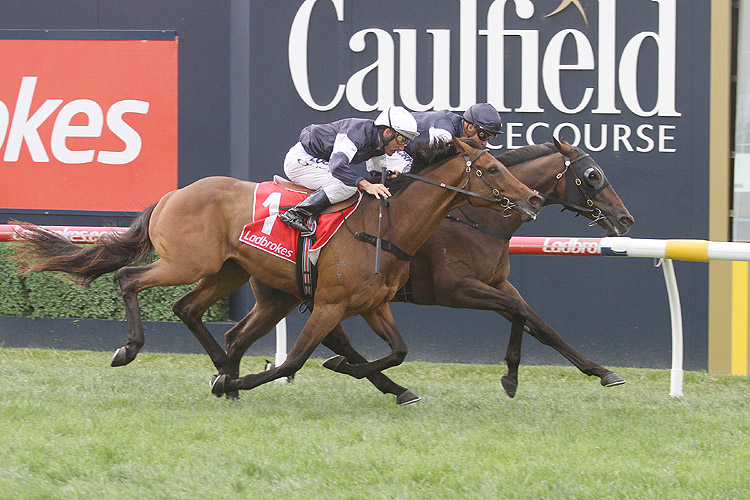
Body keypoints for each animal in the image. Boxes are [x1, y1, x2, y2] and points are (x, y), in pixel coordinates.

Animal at [14, 137, 544, 394]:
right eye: (492, 169)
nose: (532, 198)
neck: (385, 229)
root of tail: (172, 194)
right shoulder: (329, 305)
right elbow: (294, 359)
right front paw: (245, 379)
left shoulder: (373, 305)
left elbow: (397, 351)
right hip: (187, 262)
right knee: (129, 278)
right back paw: (136, 350)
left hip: (228, 272)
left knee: (190, 311)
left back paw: (222, 369)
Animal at [222, 139, 636, 404]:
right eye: (593, 175)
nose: (624, 219)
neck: (474, 216)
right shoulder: (456, 290)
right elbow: (520, 313)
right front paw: (511, 376)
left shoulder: (498, 282)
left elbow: (538, 324)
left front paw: (601, 372)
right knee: (330, 341)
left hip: (288, 294)